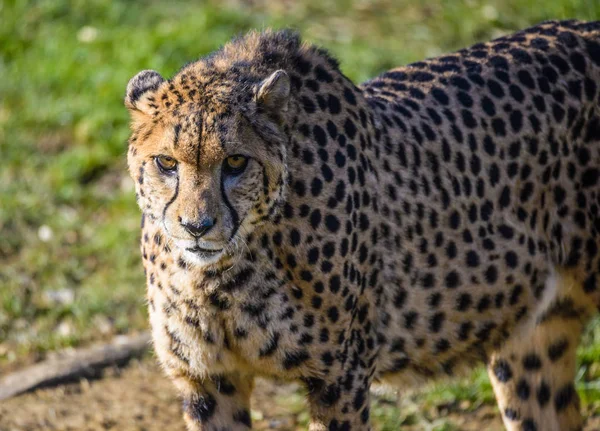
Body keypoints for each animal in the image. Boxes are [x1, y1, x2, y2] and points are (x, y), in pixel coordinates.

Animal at [125, 22, 600, 431]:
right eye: (166, 162)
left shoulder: (340, 377)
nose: (196, 226)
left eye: (236, 162)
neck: (222, 276)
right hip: (533, 341)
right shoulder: (208, 380)